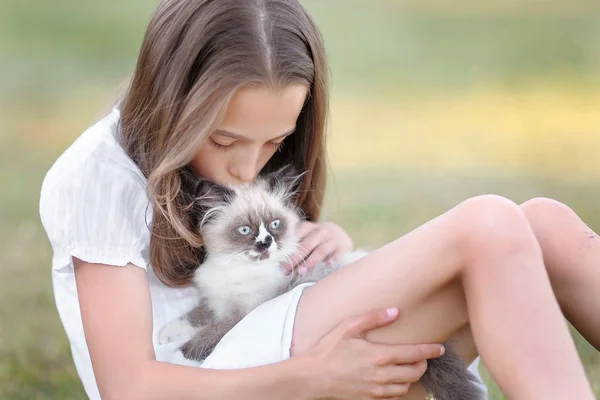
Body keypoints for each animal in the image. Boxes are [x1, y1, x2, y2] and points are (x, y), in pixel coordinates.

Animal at [158, 166, 482, 400]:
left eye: (275, 225)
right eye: (245, 230)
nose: (266, 243)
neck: (239, 270)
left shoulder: (249, 310)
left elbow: (211, 332)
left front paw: (181, 354)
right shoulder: (218, 301)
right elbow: (195, 316)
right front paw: (167, 334)